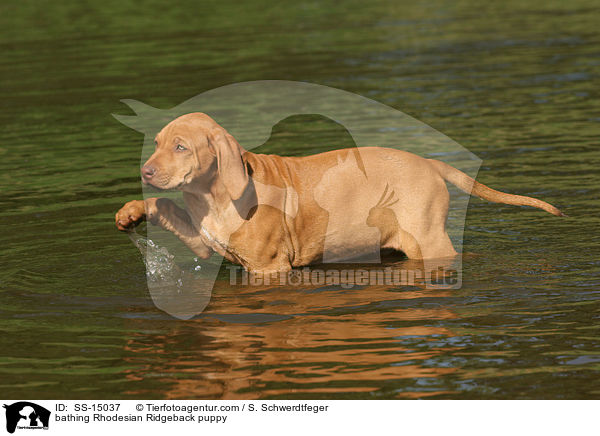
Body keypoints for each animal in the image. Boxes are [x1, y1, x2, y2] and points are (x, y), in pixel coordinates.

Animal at [115, 111, 564, 272]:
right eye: (158, 143)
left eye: (181, 147)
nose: (146, 170)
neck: (211, 197)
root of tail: (430, 163)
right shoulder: (203, 241)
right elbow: (165, 205)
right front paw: (130, 212)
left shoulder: (270, 269)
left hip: (429, 240)